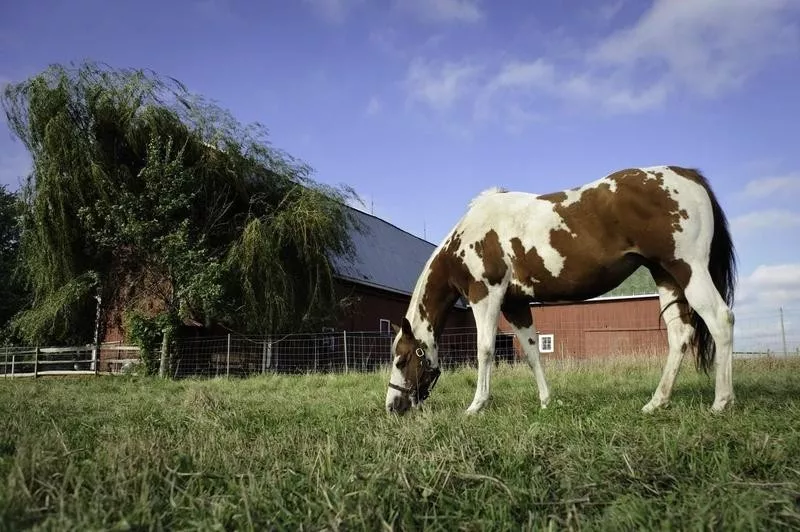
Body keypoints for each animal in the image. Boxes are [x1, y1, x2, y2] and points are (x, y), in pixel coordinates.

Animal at [384, 166, 736, 416]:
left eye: (401, 360)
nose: (392, 407)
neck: (468, 235)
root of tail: (689, 175)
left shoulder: (486, 295)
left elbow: (484, 349)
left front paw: (476, 406)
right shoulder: (515, 304)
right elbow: (532, 352)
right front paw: (546, 401)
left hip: (688, 268)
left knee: (721, 320)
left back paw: (721, 402)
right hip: (666, 276)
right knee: (680, 335)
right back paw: (656, 402)